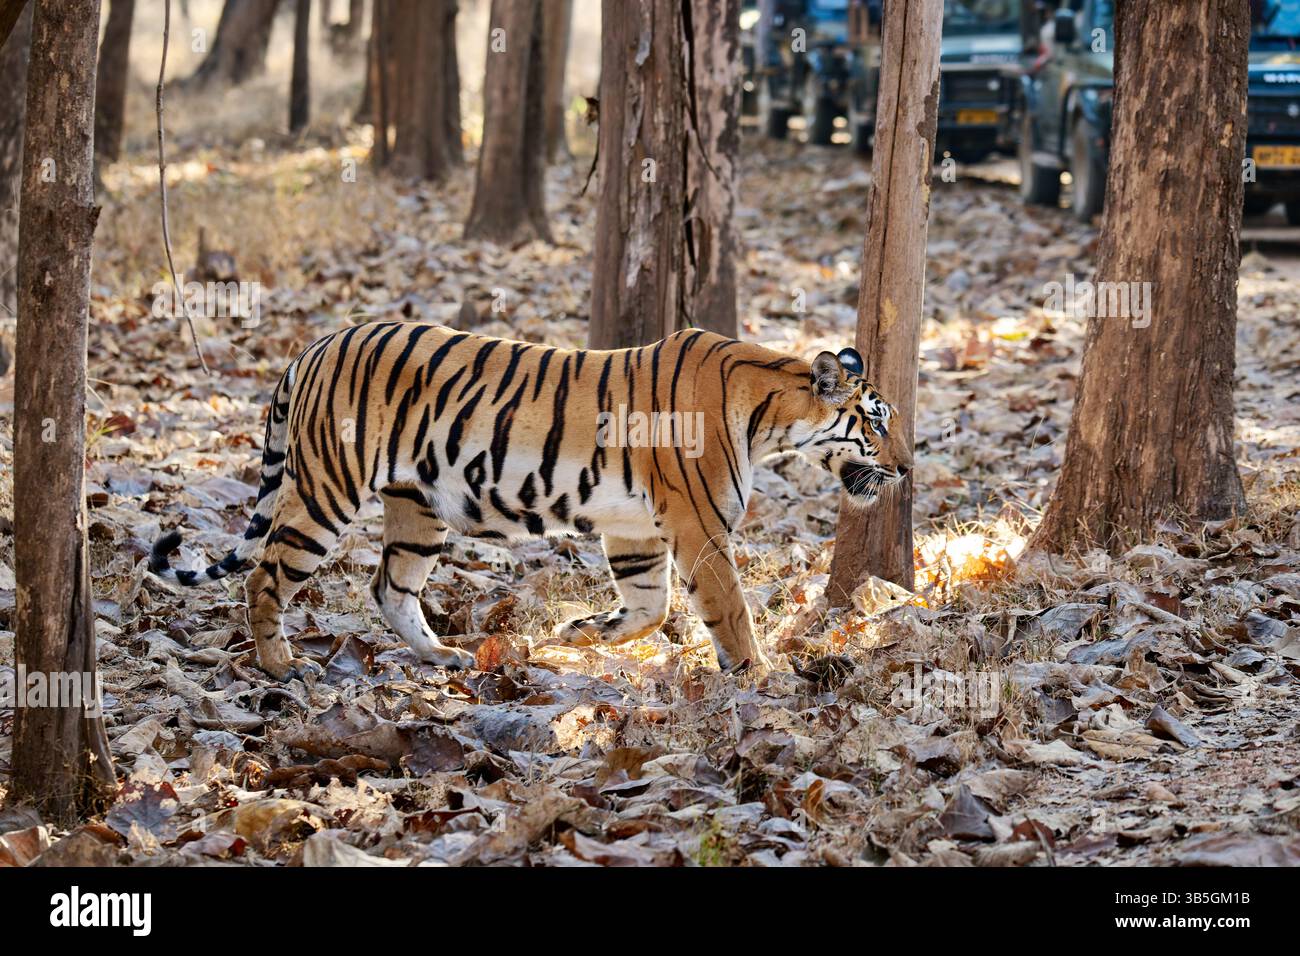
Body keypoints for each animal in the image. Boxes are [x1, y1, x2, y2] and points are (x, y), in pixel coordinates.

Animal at [149, 323, 911, 680]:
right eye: (876, 423)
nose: (907, 468)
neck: (772, 414)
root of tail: (312, 346)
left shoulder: (636, 529)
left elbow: (651, 605)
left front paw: (580, 634)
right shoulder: (699, 527)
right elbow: (729, 609)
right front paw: (759, 676)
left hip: (418, 508)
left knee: (389, 586)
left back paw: (444, 658)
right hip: (326, 490)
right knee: (264, 574)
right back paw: (280, 665)